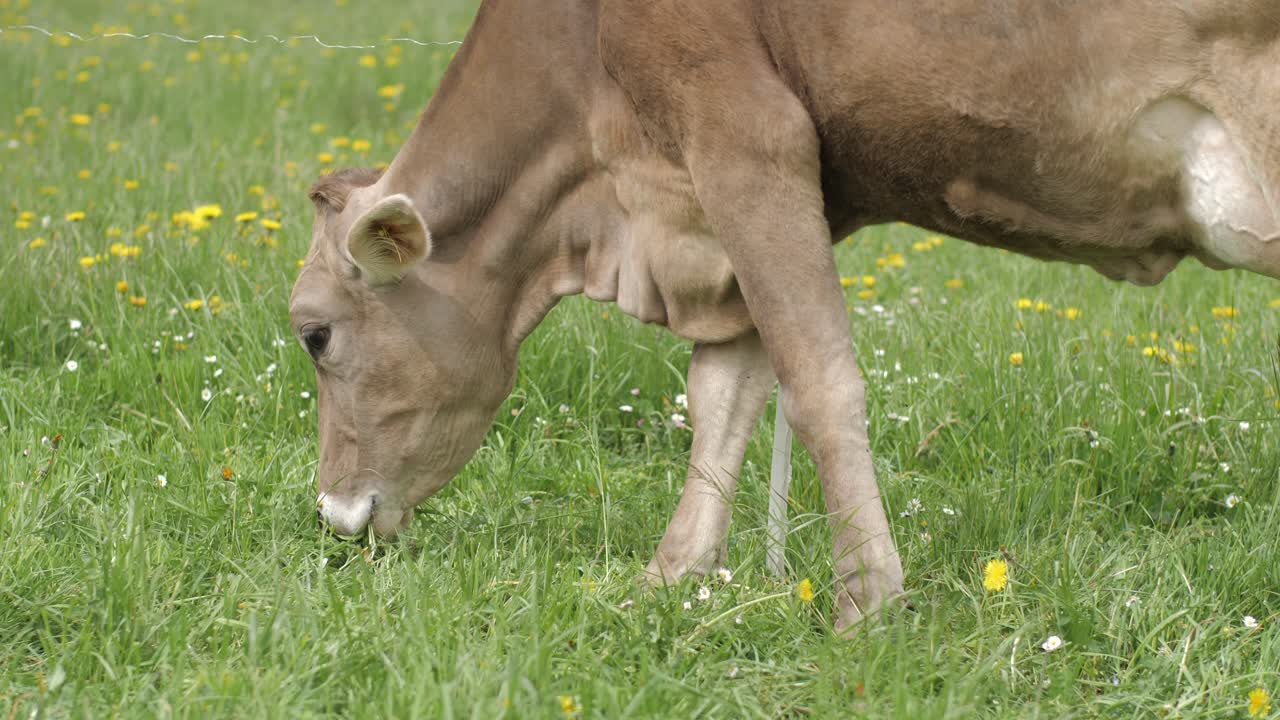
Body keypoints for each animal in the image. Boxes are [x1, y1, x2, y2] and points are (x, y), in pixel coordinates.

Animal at [290, 0, 1279, 632]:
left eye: (314, 332)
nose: (332, 514)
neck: (614, 215)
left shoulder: (745, 133)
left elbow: (817, 383)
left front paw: (867, 606)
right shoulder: (727, 204)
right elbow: (724, 396)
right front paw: (670, 579)